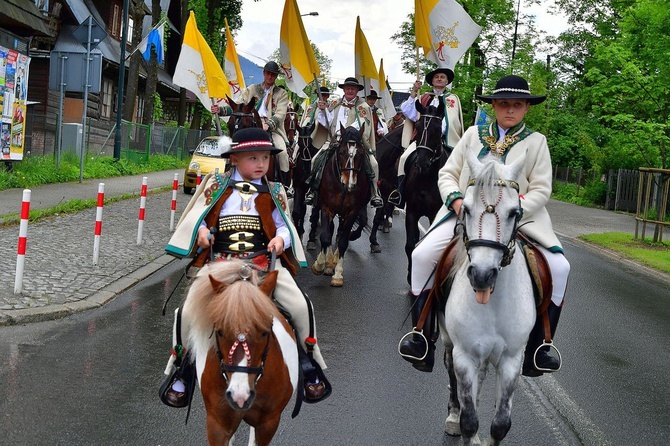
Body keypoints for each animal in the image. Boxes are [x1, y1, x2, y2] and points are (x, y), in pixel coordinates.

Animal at [312, 124, 370, 286]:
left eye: (360, 154)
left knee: (341, 232)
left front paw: (338, 274)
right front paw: (320, 264)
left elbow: (343, 241)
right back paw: (328, 262)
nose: (349, 184)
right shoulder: (326, 208)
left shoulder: (352, 212)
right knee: (331, 230)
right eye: (342, 152)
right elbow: (325, 236)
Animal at [404, 99, 452, 284]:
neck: (426, 180)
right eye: (417, 126)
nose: (422, 164)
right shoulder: (411, 211)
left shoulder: (433, 215)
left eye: (438, 129)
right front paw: (411, 276)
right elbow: (410, 245)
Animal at [440, 151, 536, 446]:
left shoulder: (511, 360)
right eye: (466, 209)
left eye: (514, 212)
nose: (482, 275)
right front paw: (463, 424)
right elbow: (469, 421)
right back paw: (453, 415)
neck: (490, 304)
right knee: (452, 375)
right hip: (449, 341)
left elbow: (500, 424)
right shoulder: (464, 355)